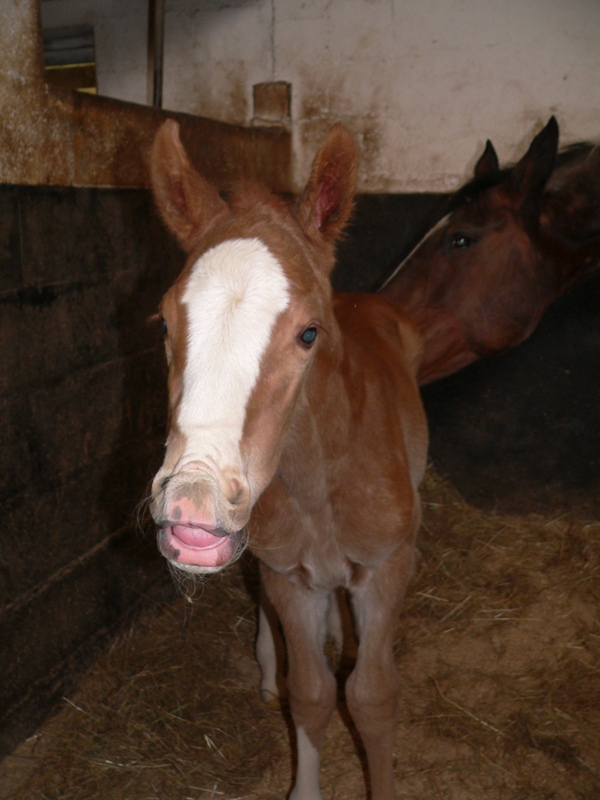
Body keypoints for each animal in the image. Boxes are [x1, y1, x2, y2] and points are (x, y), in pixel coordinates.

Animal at [148, 120, 428, 800]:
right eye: (164, 323)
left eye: (308, 333)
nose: (193, 507)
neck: (321, 484)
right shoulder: (289, 578)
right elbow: (311, 695)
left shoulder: (387, 567)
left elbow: (372, 697)